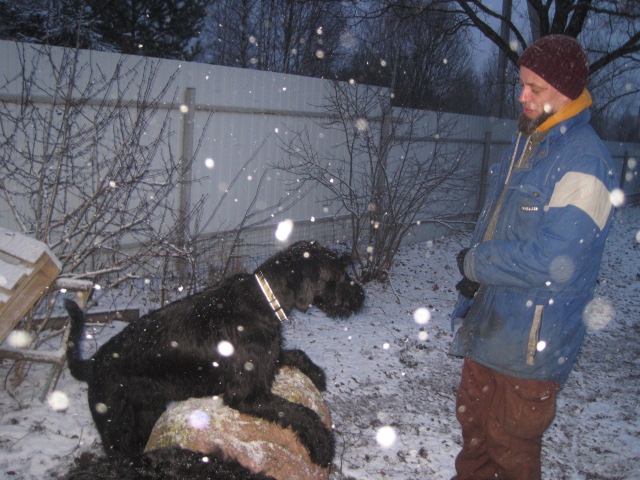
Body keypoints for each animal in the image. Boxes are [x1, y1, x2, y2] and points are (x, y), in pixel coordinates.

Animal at [64, 240, 364, 472]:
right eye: (339, 274)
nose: (361, 297)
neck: (263, 301)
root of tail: (92, 364)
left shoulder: (265, 361)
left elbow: (295, 354)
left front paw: (317, 375)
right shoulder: (247, 395)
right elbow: (299, 412)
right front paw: (322, 444)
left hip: (147, 413)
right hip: (117, 428)